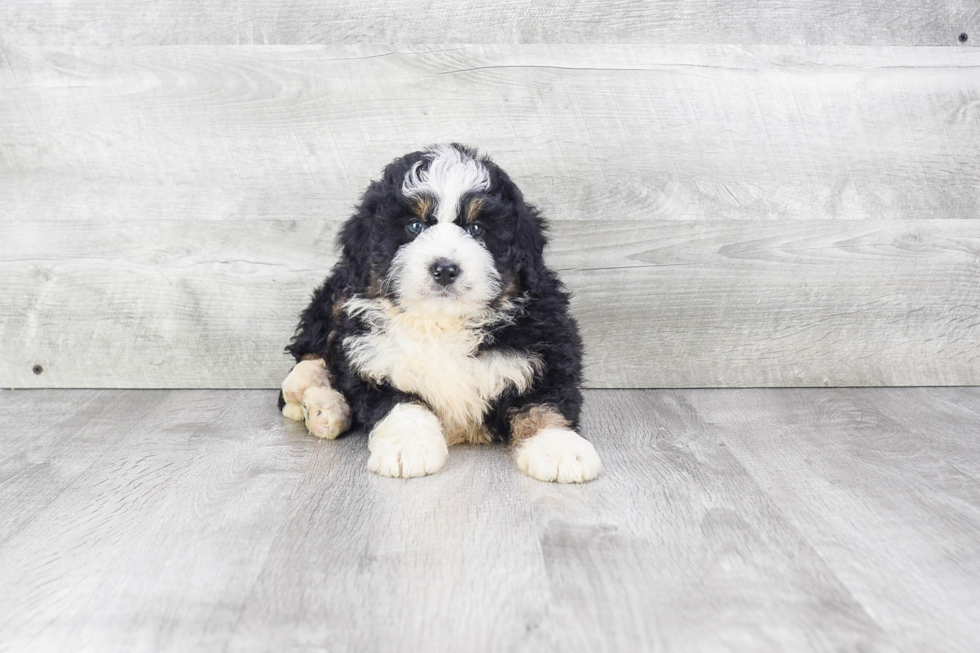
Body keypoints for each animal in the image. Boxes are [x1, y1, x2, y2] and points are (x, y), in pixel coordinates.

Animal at [274, 143, 596, 482]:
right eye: (414, 226)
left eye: (477, 228)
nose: (444, 269)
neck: (442, 322)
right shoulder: (371, 360)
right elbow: (400, 404)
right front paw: (407, 447)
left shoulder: (545, 349)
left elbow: (544, 402)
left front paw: (558, 447)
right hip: (334, 299)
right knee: (310, 352)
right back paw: (316, 400)